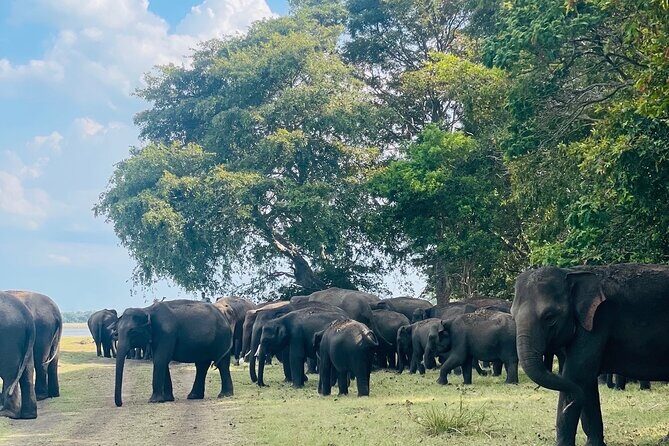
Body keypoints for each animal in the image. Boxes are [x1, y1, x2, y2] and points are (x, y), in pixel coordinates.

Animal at [512, 263, 669, 446]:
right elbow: (585, 383)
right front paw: (594, 444)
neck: (571, 272)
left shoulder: (598, 321)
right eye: (513, 317)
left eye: (549, 317)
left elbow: (577, 376)